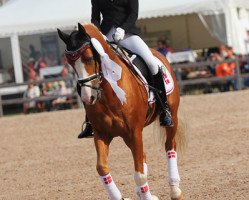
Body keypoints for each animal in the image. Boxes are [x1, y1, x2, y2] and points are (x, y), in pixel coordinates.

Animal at [57, 23, 185, 200]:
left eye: (89, 58)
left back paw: (175, 189)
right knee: (143, 156)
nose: (87, 97)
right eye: (70, 63)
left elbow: (139, 174)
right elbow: (102, 168)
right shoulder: (102, 134)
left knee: (169, 146)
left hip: (171, 117)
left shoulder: (134, 132)